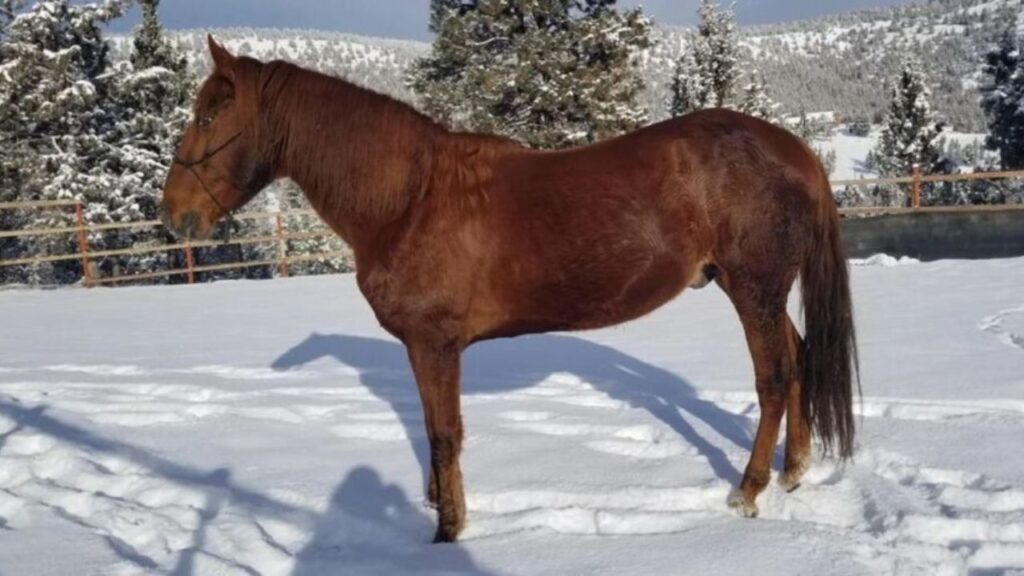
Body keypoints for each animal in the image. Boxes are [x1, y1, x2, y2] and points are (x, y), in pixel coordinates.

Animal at [161, 37, 858, 543]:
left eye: (209, 114)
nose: (174, 216)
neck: (409, 198)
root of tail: (794, 149)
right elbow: (434, 430)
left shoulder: (434, 344)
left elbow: (445, 434)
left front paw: (448, 531)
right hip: (763, 291)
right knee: (799, 360)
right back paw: (793, 474)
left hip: (753, 288)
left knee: (774, 377)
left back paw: (748, 491)